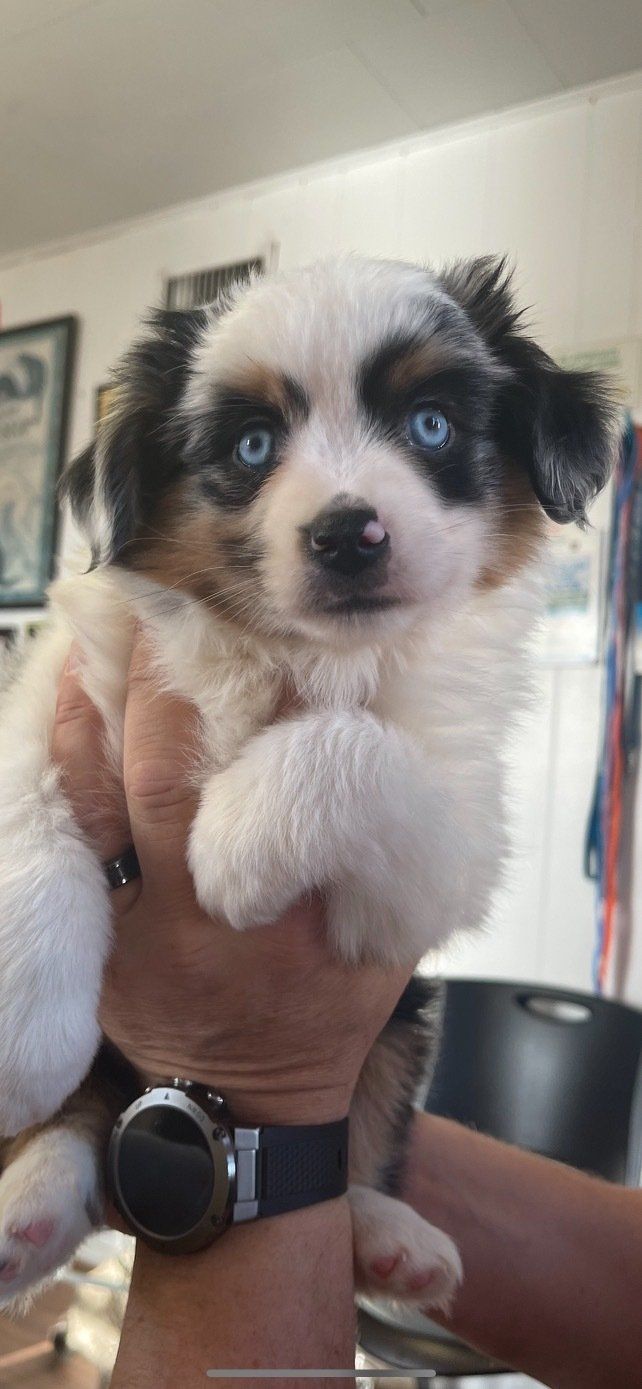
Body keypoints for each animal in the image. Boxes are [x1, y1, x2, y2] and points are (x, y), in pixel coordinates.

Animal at [0, 255, 616, 1305]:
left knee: (350, 1144)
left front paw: (232, 842)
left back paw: (389, 1237)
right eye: (252, 445)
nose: (347, 533)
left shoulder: (446, 848)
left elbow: (359, 746)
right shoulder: (72, 681)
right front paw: (22, 1035)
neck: (286, 651)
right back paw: (28, 1202)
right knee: (85, 1112)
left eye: (432, 425)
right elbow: (25, 806)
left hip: (407, 1022)